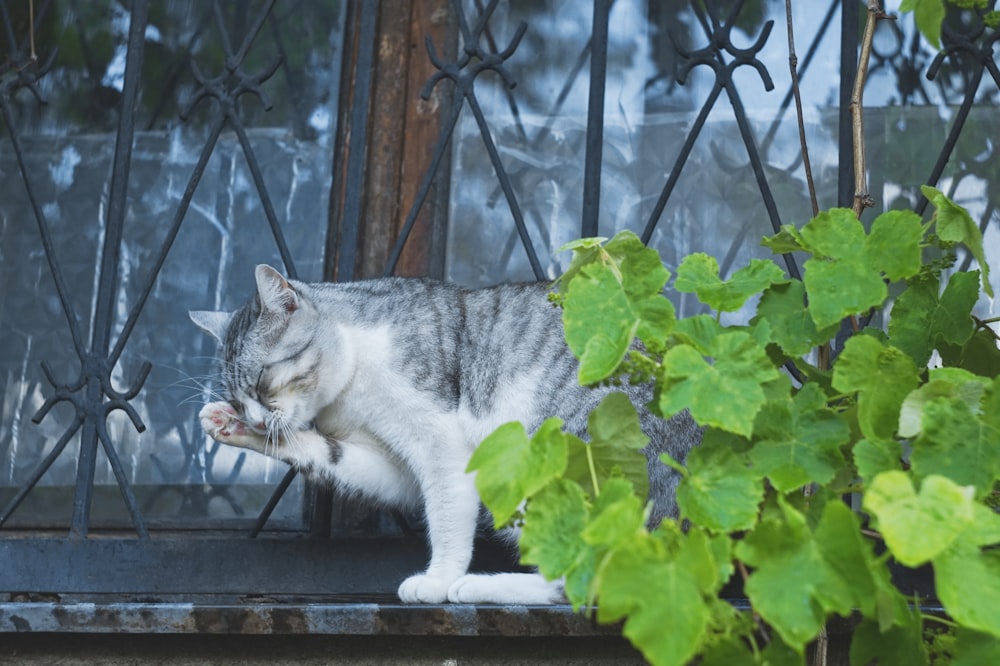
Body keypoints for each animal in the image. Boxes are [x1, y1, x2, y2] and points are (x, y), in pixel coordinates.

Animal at [189, 264, 704, 600]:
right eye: (238, 397)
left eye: (262, 380)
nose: (255, 420)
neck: (351, 387)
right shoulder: (390, 463)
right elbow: (330, 455)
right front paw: (227, 425)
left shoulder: (439, 441)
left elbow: (447, 515)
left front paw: (436, 580)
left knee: (586, 582)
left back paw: (475, 586)